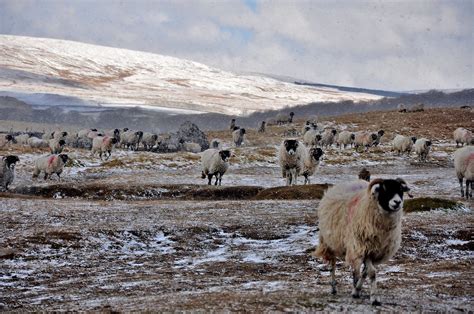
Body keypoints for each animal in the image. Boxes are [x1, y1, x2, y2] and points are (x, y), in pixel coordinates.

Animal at [312, 178, 410, 306]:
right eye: (384, 189)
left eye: (401, 190)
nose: (397, 202)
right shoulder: (365, 247)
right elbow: (372, 272)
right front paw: (374, 298)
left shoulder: (375, 251)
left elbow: (365, 272)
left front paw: (357, 290)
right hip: (331, 243)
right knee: (333, 265)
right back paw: (333, 288)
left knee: (356, 270)